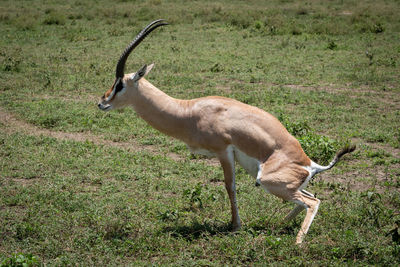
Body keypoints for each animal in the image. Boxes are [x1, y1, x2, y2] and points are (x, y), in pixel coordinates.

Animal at [98, 18, 354, 245]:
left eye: (120, 84)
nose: (102, 102)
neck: (189, 111)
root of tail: (310, 164)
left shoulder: (224, 152)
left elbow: (229, 187)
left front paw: (235, 226)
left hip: (265, 180)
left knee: (312, 202)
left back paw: (298, 242)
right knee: (310, 198)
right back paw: (276, 226)